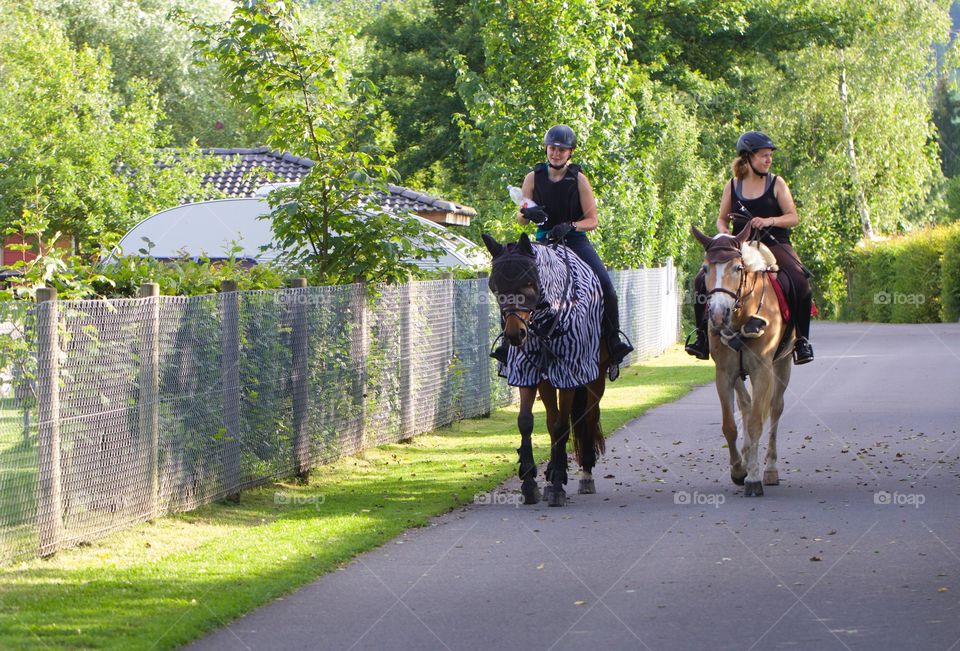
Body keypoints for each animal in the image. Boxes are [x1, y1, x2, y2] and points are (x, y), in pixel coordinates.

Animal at [480, 234, 608, 510]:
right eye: (494, 287)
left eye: (530, 282)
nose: (515, 334)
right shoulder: (528, 373)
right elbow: (527, 422)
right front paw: (530, 483)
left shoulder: (569, 373)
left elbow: (562, 425)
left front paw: (559, 482)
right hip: (547, 383)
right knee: (552, 420)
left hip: (596, 377)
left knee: (587, 417)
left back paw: (585, 474)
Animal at [692, 225, 792, 500]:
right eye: (705, 269)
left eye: (737, 267)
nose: (717, 314)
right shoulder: (724, 373)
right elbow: (730, 425)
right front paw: (739, 471)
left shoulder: (762, 371)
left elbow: (758, 421)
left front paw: (754, 478)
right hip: (739, 374)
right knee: (745, 405)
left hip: (783, 365)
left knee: (775, 409)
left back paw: (770, 469)